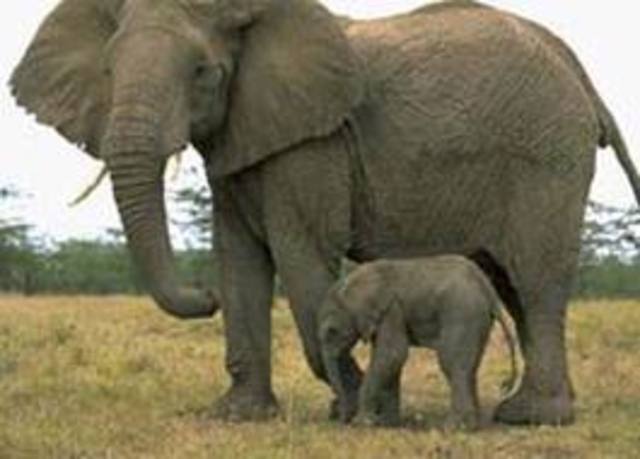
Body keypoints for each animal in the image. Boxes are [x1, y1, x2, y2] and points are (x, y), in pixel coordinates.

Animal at [318, 255, 518, 429]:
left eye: (332, 331)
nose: (342, 419)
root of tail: (487, 288)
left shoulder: (391, 310)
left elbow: (392, 354)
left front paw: (362, 423)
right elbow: (389, 360)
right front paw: (387, 424)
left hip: (462, 313)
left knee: (451, 363)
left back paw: (454, 427)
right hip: (478, 319)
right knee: (470, 366)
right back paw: (472, 426)